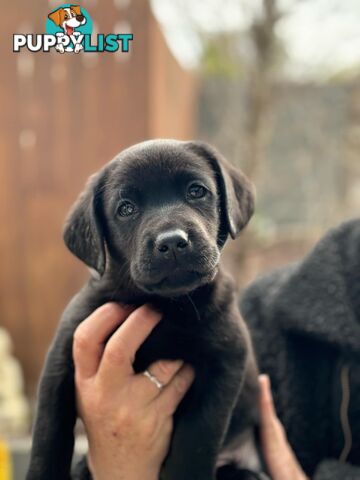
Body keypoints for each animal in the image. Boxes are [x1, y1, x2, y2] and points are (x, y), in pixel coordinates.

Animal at [26, 140, 262, 480]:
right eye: (126, 209)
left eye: (196, 191)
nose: (173, 242)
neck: (167, 304)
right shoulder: (62, 356)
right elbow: (49, 432)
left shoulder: (224, 364)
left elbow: (195, 444)